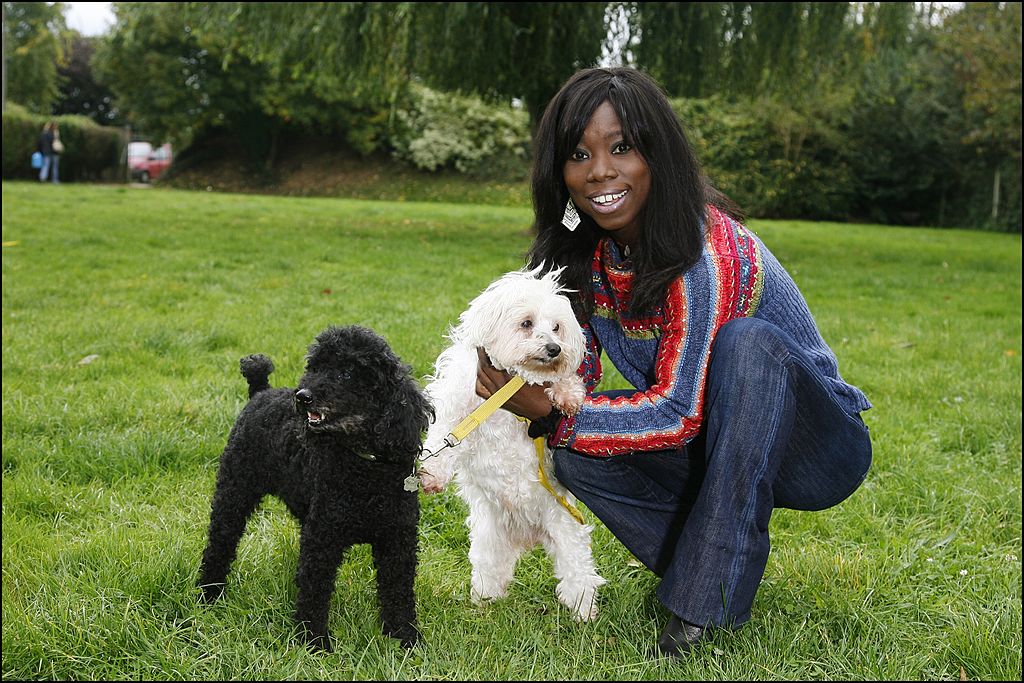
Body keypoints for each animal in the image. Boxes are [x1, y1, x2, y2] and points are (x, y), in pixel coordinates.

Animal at [417, 266, 602, 618]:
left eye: (556, 327)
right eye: (526, 323)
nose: (555, 348)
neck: (512, 385)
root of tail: (527, 531)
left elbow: (561, 380)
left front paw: (567, 395)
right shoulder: (460, 404)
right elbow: (445, 431)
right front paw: (432, 473)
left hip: (566, 530)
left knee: (579, 576)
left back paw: (583, 614)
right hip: (489, 540)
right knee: (491, 573)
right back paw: (485, 603)